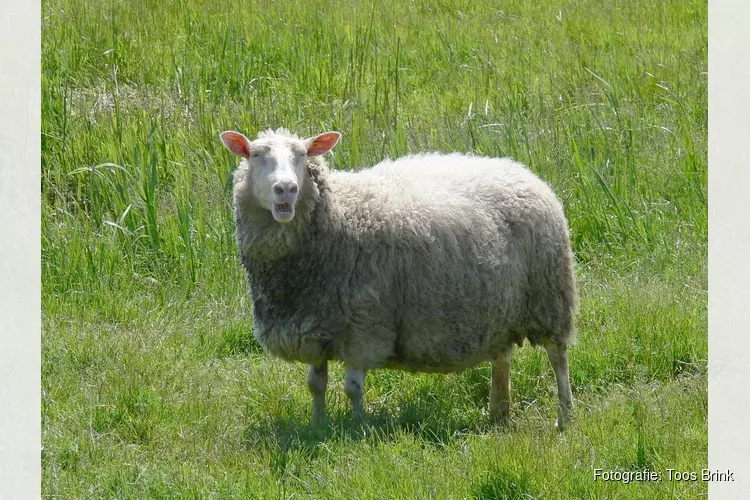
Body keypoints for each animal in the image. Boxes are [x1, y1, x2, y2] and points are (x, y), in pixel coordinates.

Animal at [220, 128, 580, 430]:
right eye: (255, 154)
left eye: (302, 155)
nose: (286, 189)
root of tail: (521, 171)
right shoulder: (316, 327)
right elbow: (315, 384)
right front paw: (318, 426)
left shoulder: (363, 327)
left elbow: (353, 388)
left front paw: (357, 428)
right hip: (498, 307)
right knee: (501, 356)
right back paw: (498, 412)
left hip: (549, 293)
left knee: (558, 356)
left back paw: (564, 416)